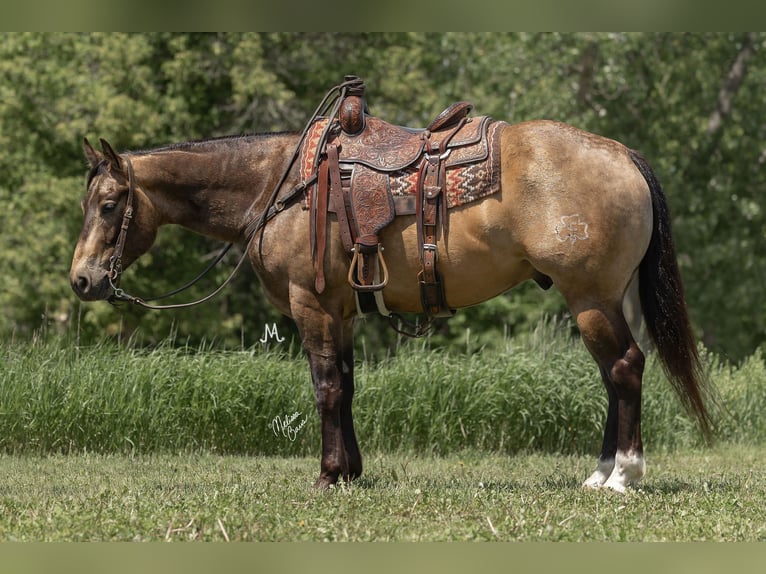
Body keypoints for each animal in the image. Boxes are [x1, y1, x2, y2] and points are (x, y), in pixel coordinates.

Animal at [69, 76, 712, 492]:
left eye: (108, 205)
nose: (82, 279)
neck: (280, 187)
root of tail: (622, 154)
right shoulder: (340, 310)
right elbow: (347, 386)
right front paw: (351, 471)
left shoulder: (311, 306)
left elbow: (326, 388)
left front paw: (328, 475)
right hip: (606, 298)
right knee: (613, 376)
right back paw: (599, 472)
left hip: (590, 298)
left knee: (624, 368)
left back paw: (623, 474)